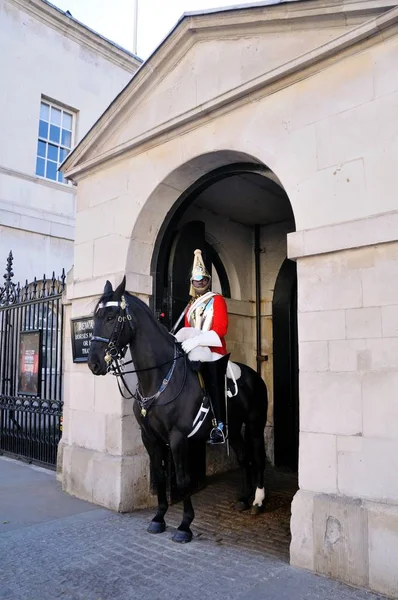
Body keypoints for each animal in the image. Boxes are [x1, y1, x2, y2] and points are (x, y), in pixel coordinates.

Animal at [87, 276, 268, 544]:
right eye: (95, 316)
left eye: (111, 317)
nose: (94, 363)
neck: (158, 378)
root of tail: (255, 375)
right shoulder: (150, 438)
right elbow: (160, 475)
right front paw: (158, 518)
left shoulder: (178, 437)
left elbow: (183, 479)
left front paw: (184, 525)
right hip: (233, 429)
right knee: (244, 458)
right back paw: (244, 500)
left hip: (255, 425)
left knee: (258, 458)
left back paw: (258, 501)